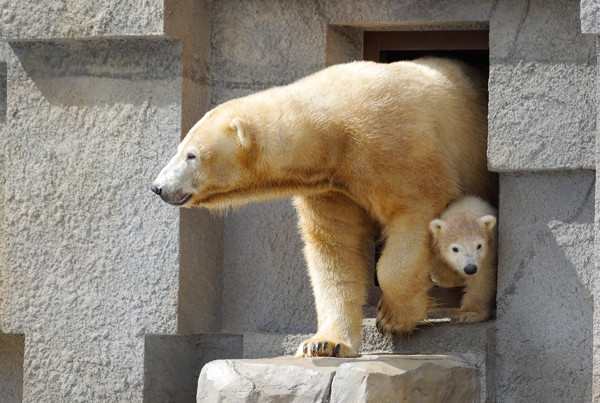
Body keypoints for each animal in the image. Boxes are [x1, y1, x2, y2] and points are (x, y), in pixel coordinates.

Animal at [152, 58, 494, 358]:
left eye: (191, 155)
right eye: (180, 148)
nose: (157, 187)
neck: (334, 129)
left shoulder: (398, 150)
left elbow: (414, 215)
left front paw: (394, 318)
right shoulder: (331, 188)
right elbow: (334, 250)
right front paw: (324, 343)